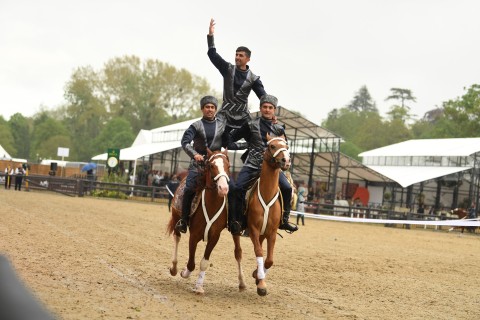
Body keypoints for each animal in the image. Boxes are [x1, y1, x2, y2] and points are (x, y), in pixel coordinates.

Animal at [167, 149, 231, 294]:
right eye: (211, 166)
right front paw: (184, 272)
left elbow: (204, 263)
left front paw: (199, 287)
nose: (223, 188)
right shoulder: (194, 236)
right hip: (176, 217)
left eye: (228, 166)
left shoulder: (214, 237)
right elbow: (191, 263)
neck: (211, 205)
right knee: (176, 237)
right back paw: (174, 268)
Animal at [232, 132, 288, 296]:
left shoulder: (271, 232)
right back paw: (242, 283)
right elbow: (259, 252)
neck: (266, 193)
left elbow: (268, 259)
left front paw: (258, 276)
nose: (286, 160)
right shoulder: (254, 230)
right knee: (238, 252)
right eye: (272, 146)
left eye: (287, 146)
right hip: (236, 229)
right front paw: (261, 284)